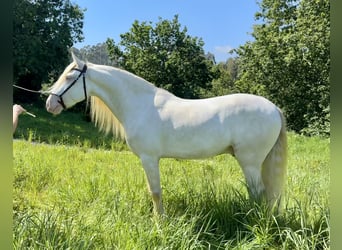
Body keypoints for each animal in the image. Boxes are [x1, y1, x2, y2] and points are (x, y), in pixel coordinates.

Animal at [45, 52, 286, 213]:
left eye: (69, 78)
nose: (50, 104)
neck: (140, 104)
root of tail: (274, 108)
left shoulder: (149, 158)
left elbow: (155, 192)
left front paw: (159, 222)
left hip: (250, 162)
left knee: (259, 193)